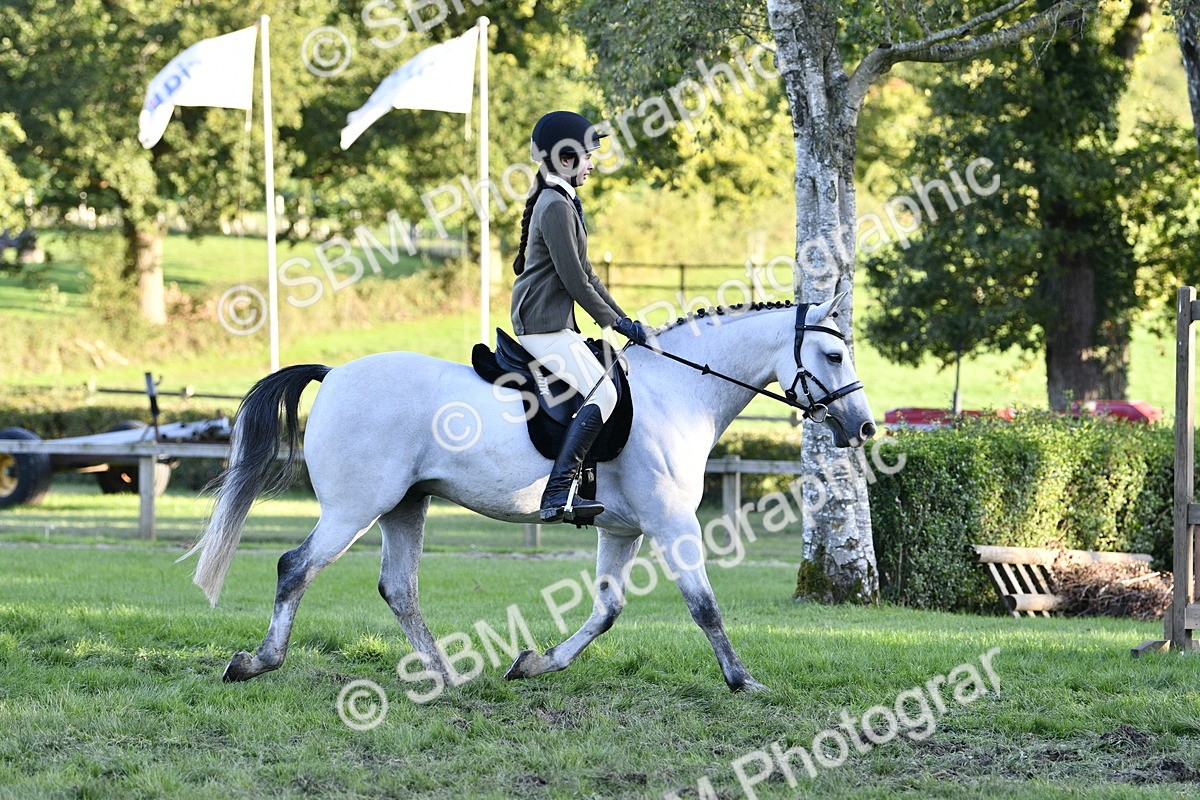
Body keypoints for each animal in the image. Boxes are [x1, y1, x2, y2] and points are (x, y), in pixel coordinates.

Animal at [185, 292, 876, 693]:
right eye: (833, 354)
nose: (864, 427)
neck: (679, 392)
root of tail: (335, 373)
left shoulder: (621, 529)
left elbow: (607, 609)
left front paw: (535, 664)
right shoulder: (673, 521)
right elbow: (703, 605)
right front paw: (742, 680)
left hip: (406, 504)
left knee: (398, 587)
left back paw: (447, 676)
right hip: (356, 507)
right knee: (295, 566)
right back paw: (256, 662)